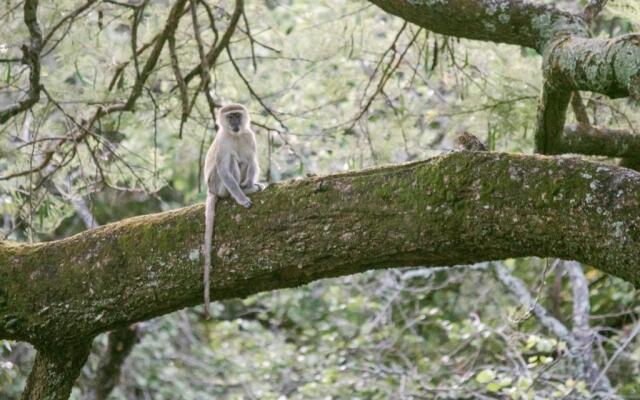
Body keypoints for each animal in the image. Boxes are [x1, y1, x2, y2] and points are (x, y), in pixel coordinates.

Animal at [206, 104, 264, 318]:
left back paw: (248, 186)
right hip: (217, 184)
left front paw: (250, 185)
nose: (235, 123)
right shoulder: (223, 141)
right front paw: (242, 199)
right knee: (230, 162)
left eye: (238, 116)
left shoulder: (249, 135)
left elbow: (252, 160)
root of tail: (211, 191)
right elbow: (224, 169)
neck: (235, 135)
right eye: (230, 117)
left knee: (247, 160)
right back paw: (240, 193)